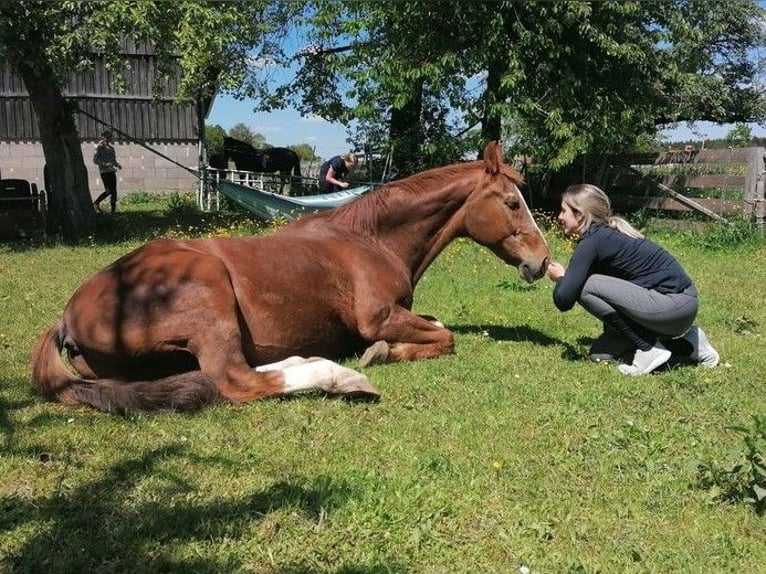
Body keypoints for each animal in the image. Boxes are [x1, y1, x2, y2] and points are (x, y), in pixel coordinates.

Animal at [31, 141, 550, 414]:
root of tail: (67, 316)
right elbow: (443, 337)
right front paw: (382, 353)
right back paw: (342, 376)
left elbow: (439, 326)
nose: (543, 261)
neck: (370, 240)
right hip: (209, 298)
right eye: (511, 202)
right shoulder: (379, 317)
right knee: (234, 379)